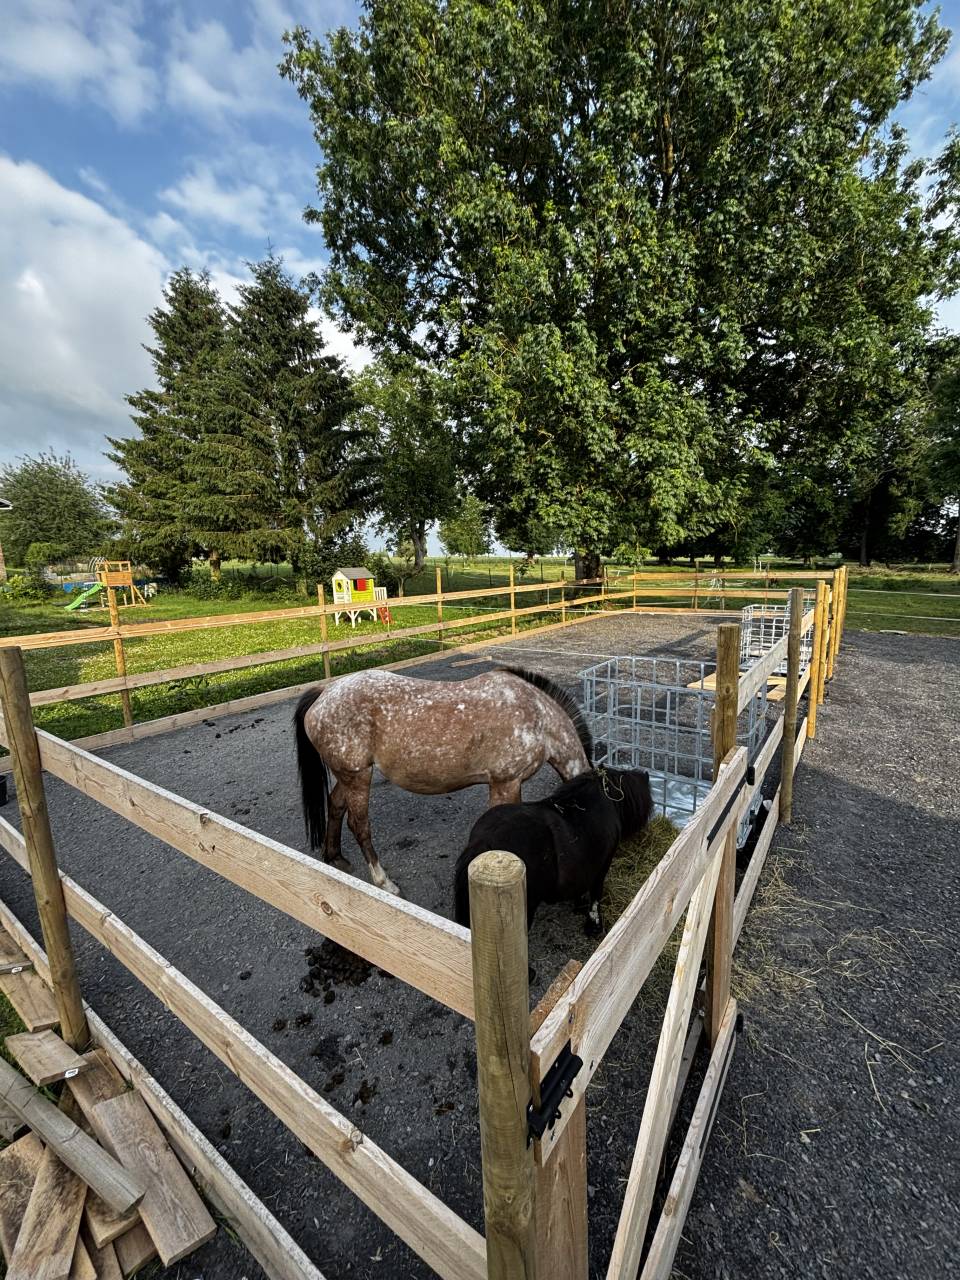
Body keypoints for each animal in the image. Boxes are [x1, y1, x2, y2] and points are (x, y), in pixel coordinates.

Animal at [293, 666, 592, 895]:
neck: (538, 717)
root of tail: (324, 694)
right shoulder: (506, 782)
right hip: (357, 776)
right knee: (359, 825)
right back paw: (384, 882)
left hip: (348, 775)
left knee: (335, 806)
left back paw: (335, 858)